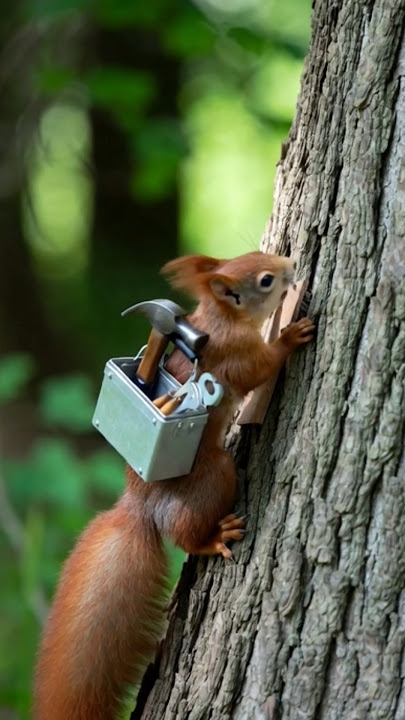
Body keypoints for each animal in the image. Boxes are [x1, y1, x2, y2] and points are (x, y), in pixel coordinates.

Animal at [33, 251, 315, 720]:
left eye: (258, 259)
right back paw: (214, 537)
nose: (291, 264)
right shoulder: (237, 358)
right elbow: (262, 366)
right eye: (265, 279)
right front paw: (291, 335)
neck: (221, 319)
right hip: (216, 476)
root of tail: (138, 505)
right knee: (186, 533)